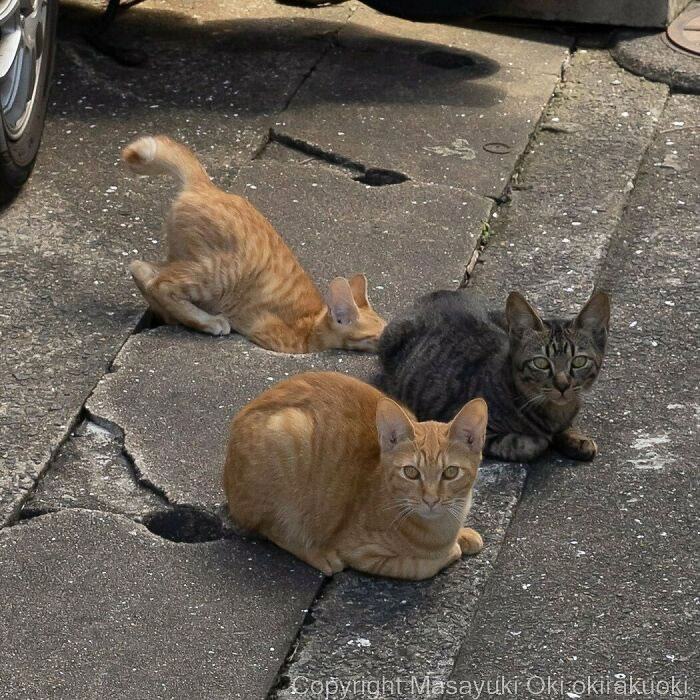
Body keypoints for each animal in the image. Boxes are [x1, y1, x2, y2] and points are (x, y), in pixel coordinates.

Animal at [123, 135, 386, 356]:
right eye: (380, 338)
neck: (312, 324)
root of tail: (207, 185)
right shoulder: (272, 337)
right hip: (219, 274)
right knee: (161, 283)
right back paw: (209, 321)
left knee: (140, 267)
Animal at [224, 372, 486, 580]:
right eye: (411, 472)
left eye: (450, 472)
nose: (431, 500)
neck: (440, 529)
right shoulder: (361, 552)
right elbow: (418, 567)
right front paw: (451, 551)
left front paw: (465, 535)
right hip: (287, 437)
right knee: (273, 529)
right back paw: (319, 554)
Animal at [374, 288, 608, 462]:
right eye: (541, 363)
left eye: (579, 361)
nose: (562, 384)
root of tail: (439, 292)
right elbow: (526, 444)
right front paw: (544, 439)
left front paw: (576, 438)